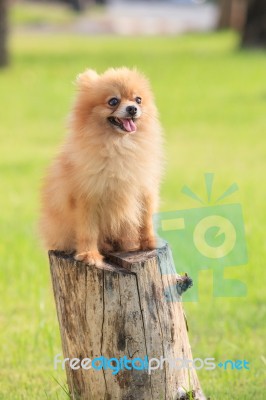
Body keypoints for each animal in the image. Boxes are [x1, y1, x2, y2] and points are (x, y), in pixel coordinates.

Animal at [39, 67, 163, 268]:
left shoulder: (144, 189)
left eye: (138, 99)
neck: (118, 145)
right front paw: (89, 255)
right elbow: (88, 230)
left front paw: (149, 243)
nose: (133, 108)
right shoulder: (87, 197)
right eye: (113, 101)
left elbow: (146, 220)